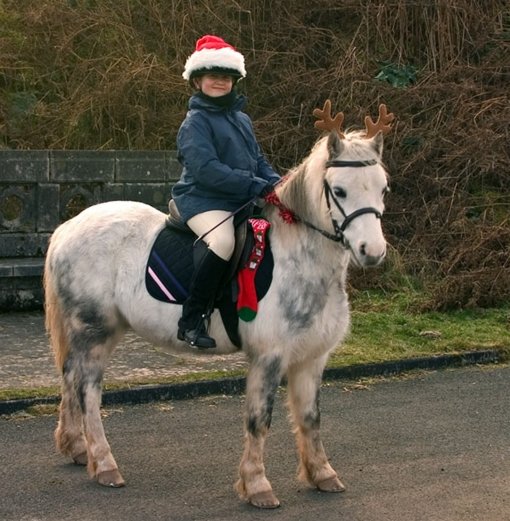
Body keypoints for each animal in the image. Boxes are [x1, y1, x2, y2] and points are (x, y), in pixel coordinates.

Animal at [43, 100, 394, 508]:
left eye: (383, 188)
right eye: (339, 190)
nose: (372, 251)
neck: (301, 258)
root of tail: (69, 227)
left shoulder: (312, 357)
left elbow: (310, 417)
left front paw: (322, 474)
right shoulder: (268, 356)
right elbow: (259, 420)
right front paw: (257, 485)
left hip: (96, 332)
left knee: (71, 379)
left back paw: (76, 448)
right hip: (94, 331)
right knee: (87, 392)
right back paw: (104, 464)